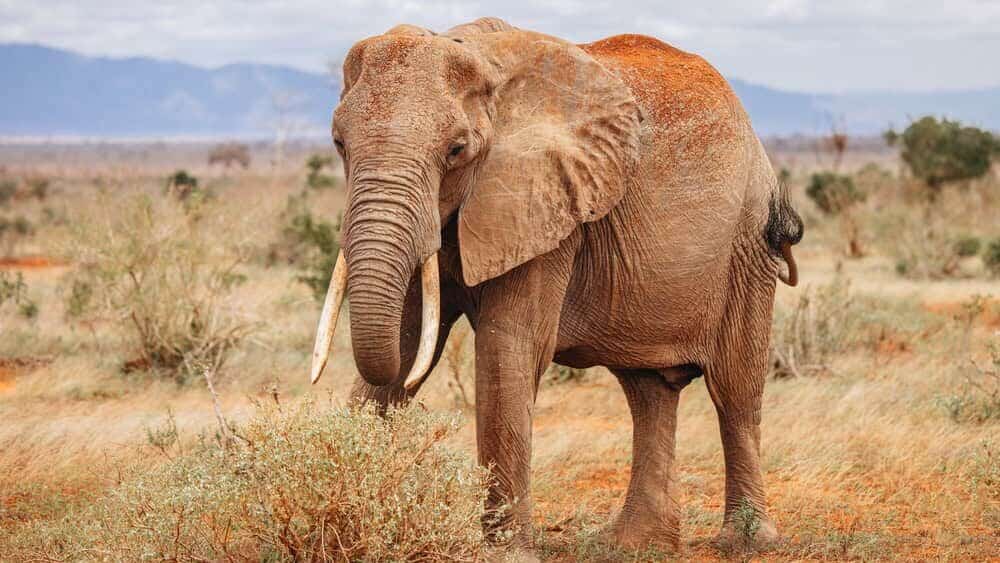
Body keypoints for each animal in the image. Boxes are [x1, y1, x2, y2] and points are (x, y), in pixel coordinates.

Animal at [309, 17, 804, 553]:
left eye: (456, 150)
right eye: (339, 144)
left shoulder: (550, 206)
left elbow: (508, 346)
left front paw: (506, 554)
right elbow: (405, 341)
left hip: (747, 242)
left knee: (734, 391)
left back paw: (747, 542)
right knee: (648, 391)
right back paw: (633, 545)